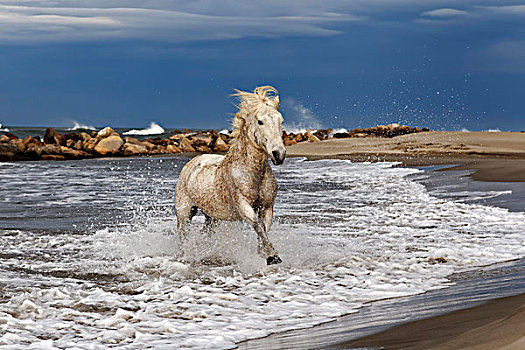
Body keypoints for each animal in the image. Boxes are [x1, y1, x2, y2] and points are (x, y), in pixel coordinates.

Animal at [174, 85, 284, 266]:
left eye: (281, 121)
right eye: (260, 121)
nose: (278, 154)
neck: (253, 173)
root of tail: (191, 163)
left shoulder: (267, 207)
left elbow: (264, 227)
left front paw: (266, 254)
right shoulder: (243, 205)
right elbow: (257, 225)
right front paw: (272, 255)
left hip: (212, 216)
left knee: (206, 232)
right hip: (185, 213)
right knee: (183, 235)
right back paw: (185, 256)